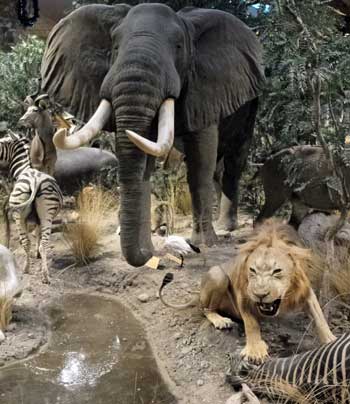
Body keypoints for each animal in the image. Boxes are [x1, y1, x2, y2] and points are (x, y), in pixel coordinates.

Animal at [0, 133, 63, 284]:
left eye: (1, 143)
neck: (25, 168)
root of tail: (35, 180)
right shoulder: (39, 220)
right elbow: (38, 235)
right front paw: (38, 255)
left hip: (19, 215)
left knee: (25, 242)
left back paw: (27, 269)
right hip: (47, 214)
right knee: (44, 243)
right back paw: (44, 275)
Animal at [40, 4, 266, 268]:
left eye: (178, 47)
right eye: (115, 48)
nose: (148, 253)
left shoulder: (204, 89)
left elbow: (201, 160)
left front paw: (203, 243)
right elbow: (145, 158)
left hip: (251, 105)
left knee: (233, 159)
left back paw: (225, 228)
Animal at [159, 219, 336, 364]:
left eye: (277, 271)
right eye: (252, 270)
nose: (260, 295)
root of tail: (199, 293)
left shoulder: (306, 290)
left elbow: (320, 318)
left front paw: (331, 341)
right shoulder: (243, 293)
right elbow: (251, 323)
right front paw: (256, 350)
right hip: (218, 275)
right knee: (206, 309)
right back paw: (221, 320)